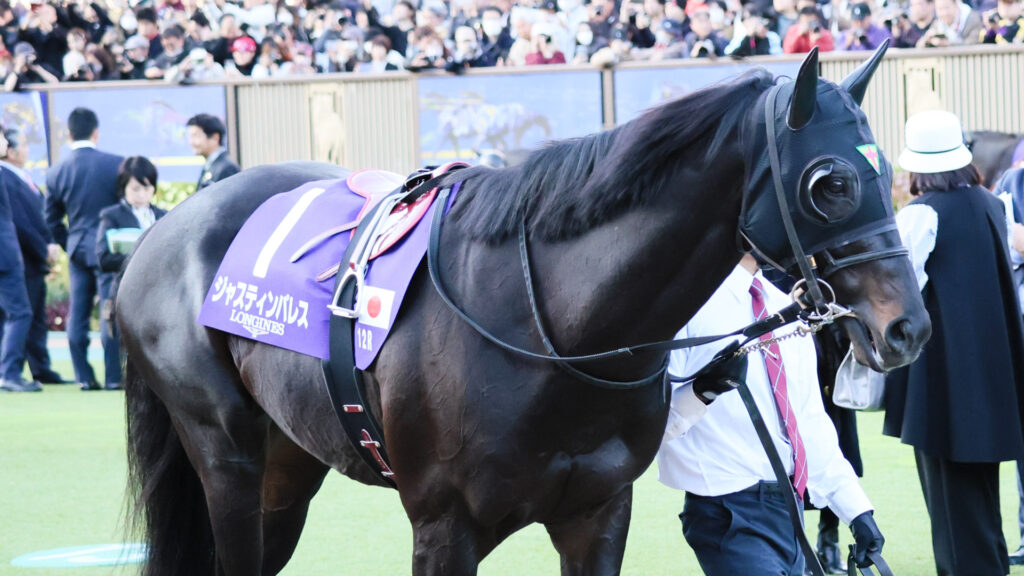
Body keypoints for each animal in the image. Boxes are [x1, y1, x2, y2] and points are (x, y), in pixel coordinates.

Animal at [119, 45, 930, 576]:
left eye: (885, 170)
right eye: (829, 183)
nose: (908, 328)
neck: (556, 332)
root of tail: (164, 227)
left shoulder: (597, 515)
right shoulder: (443, 526)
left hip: (287, 463)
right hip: (224, 453)